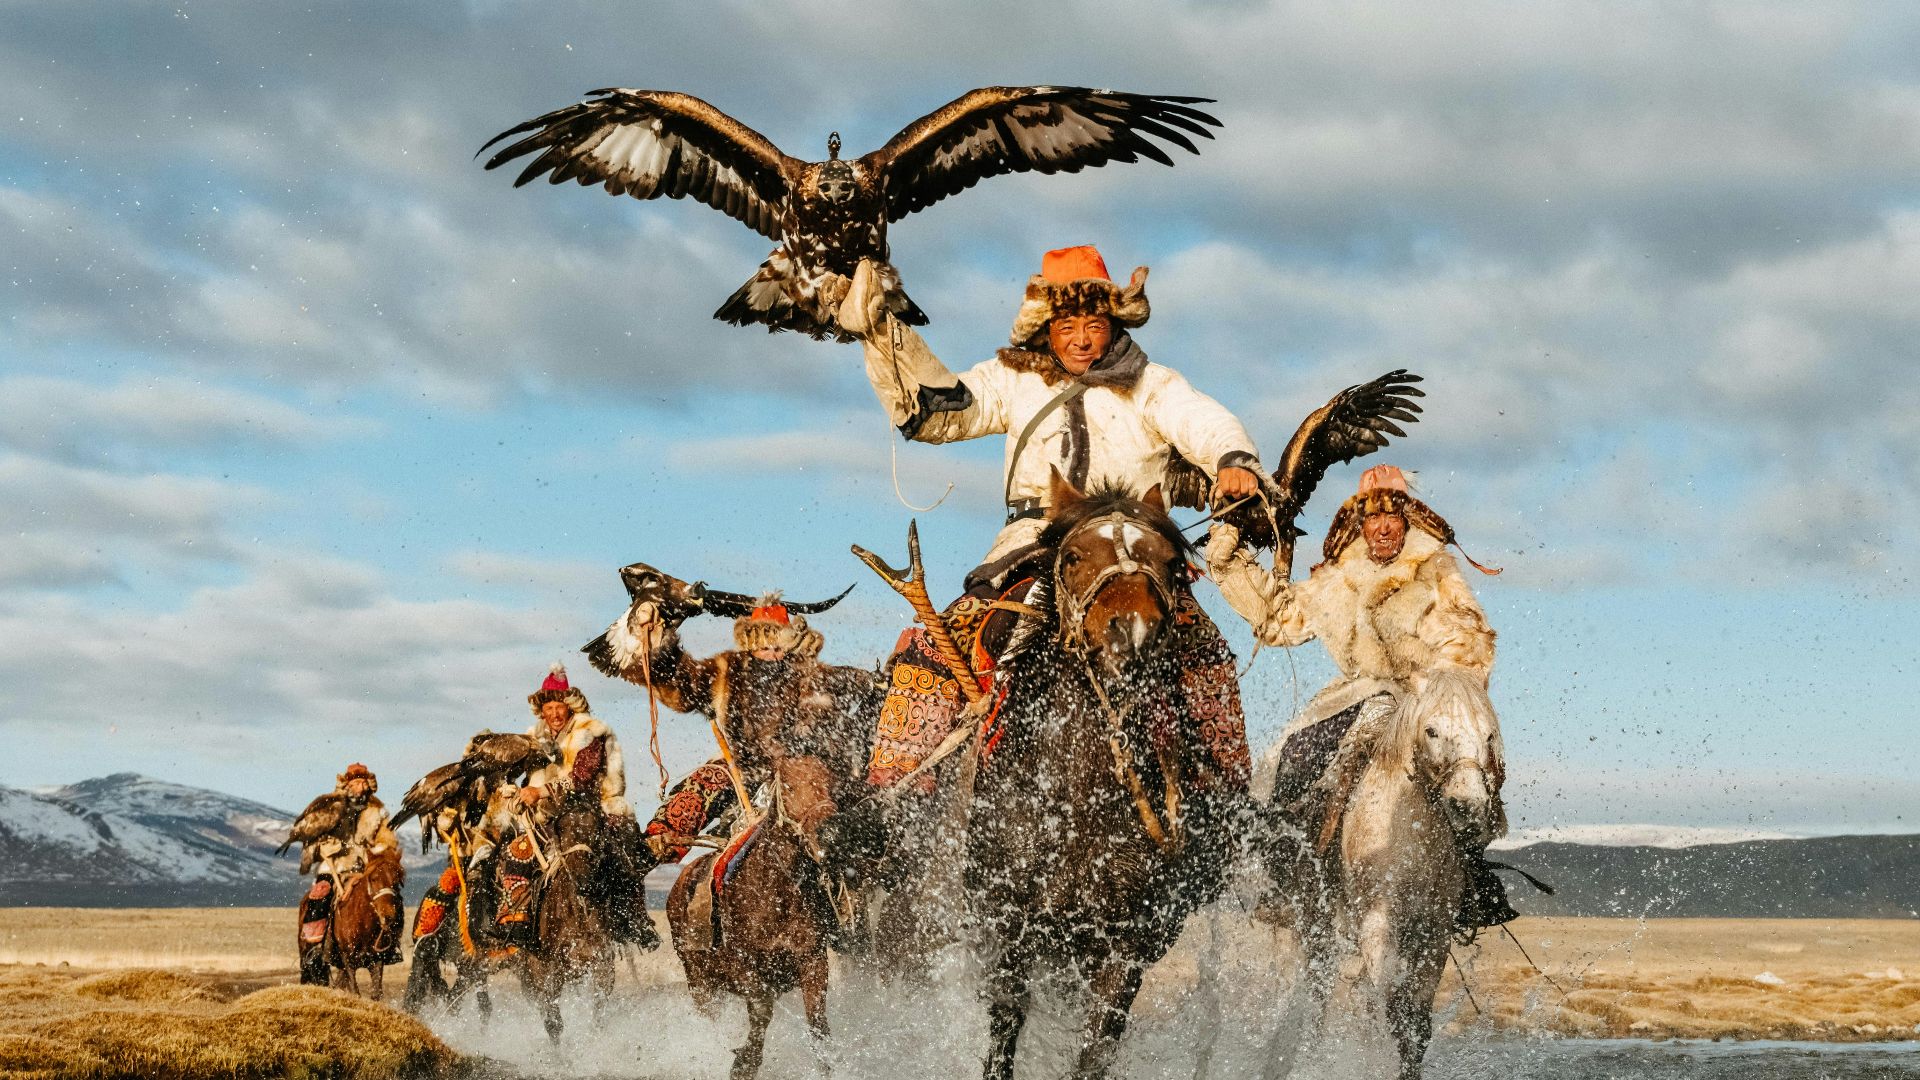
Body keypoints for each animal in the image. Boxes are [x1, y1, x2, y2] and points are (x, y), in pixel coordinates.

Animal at [666, 754, 842, 1080]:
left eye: (831, 782)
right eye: (788, 786)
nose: (831, 837)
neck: (774, 893)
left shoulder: (813, 961)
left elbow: (817, 1023)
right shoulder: (743, 966)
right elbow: (761, 1009)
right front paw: (744, 1063)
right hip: (700, 983)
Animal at [966, 476, 1252, 1080]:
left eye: (1171, 563)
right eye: (1074, 557)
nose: (1134, 634)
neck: (1075, 802)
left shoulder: (1124, 945)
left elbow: (1095, 1048)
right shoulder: (1008, 926)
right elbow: (1004, 1028)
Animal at [1266, 668, 1505, 1079]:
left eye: (1488, 734)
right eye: (1431, 731)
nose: (1468, 806)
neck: (1410, 834)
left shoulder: (1433, 933)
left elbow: (1416, 1025)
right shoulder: (1378, 923)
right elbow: (1393, 1007)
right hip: (1309, 923)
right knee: (1315, 992)